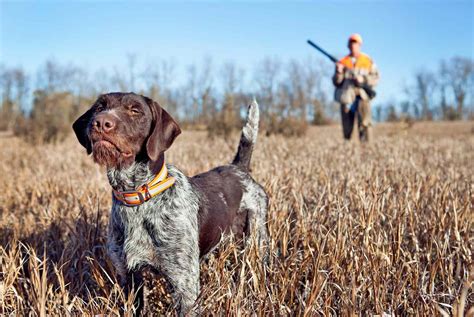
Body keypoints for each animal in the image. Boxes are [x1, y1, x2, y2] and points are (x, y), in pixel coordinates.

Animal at [72, 91, 268, 314]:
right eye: (99, 107)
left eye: (135, 110)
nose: (101, 122)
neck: (137, 198)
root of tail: (239, 169)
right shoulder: (129, 276)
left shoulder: (185, 286)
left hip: (258, 238)